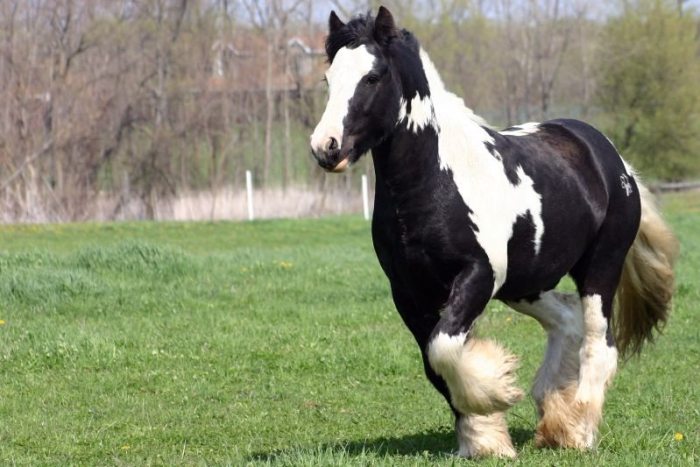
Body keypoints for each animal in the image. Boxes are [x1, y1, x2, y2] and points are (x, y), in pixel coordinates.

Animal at [308, 6, 680, 460]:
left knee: (598, 343)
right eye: (329, 79)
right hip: (525, 284)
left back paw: (577, 431)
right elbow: (435, 363)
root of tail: (612, 158)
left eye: (373, 77)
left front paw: (494, 398)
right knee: (566, 321)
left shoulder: (477, 276)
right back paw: (554, 419)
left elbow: (445, 349)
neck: (434, 182)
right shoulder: (408, 291)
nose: (326, 147)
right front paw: (484, 438)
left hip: (599, 269)